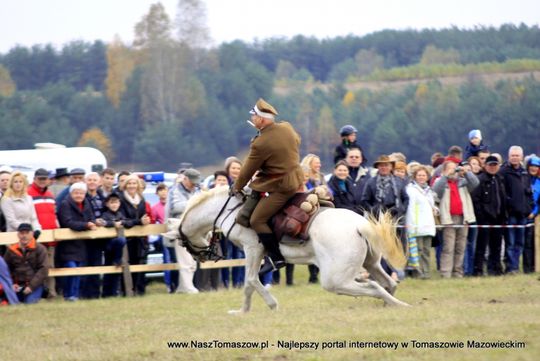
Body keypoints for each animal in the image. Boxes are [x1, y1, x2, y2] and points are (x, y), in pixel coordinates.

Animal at [173, 186, 410, 312]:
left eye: (183, 242)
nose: (203, 258)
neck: (231, 210)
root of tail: (359, 225)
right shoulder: (255, 254)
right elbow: (249, 284)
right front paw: (242, 312)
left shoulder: (253, 249)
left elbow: (251, 280)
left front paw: (271, 304)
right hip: (371, 263)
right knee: (387, 283)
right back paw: (392, 303)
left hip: (334, 280)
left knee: (374, 287)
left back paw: (398, 304)